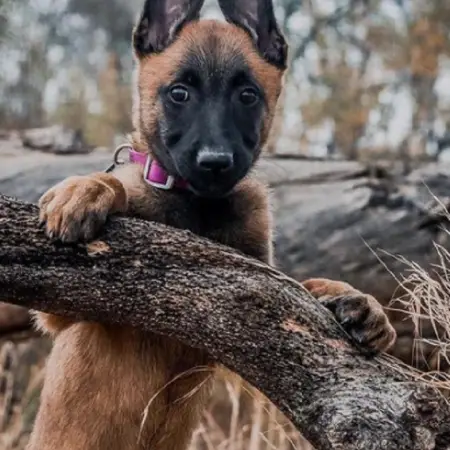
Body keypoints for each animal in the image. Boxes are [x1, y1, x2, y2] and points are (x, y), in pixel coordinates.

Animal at [29, 0, 394, 450]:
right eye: (179, 93)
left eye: (247, 95)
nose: (215, 162)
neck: (197, 208)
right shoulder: (62, 313)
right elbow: (114, 183)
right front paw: (85, 189)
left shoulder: (263, 301)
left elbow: (307, 286)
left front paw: (363, 305)